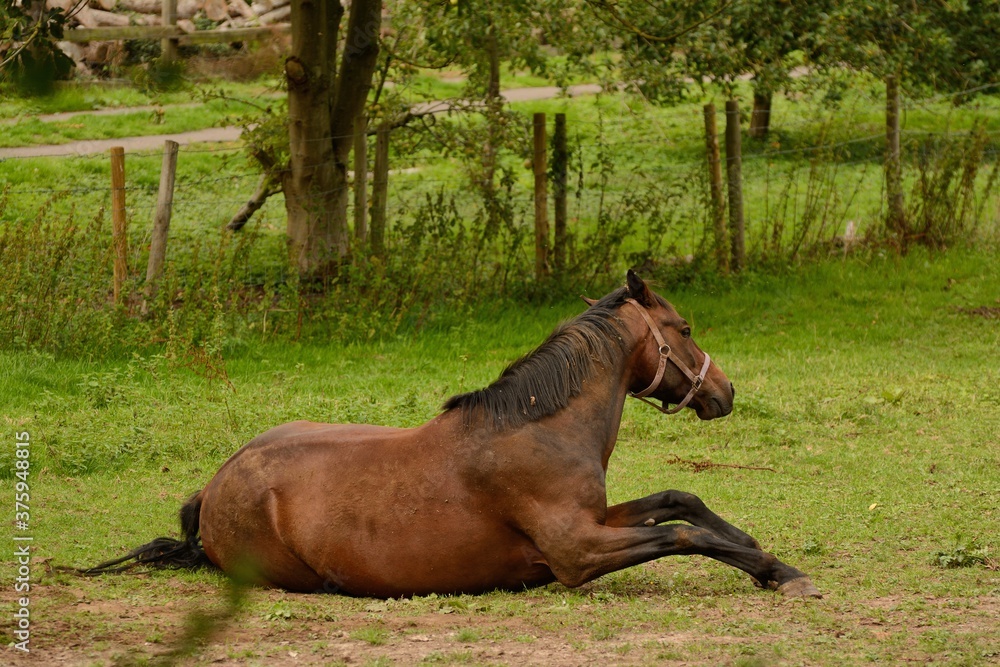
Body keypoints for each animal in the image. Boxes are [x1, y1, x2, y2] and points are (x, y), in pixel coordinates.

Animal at [88, 271, 820, 599]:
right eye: (685, 328)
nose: (725, 391)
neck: (539, 429)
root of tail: (209, 493)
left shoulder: (598, 516)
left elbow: (680, 501)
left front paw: (762, 553)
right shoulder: (577, 552)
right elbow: (682, 534)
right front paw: (777, 571)